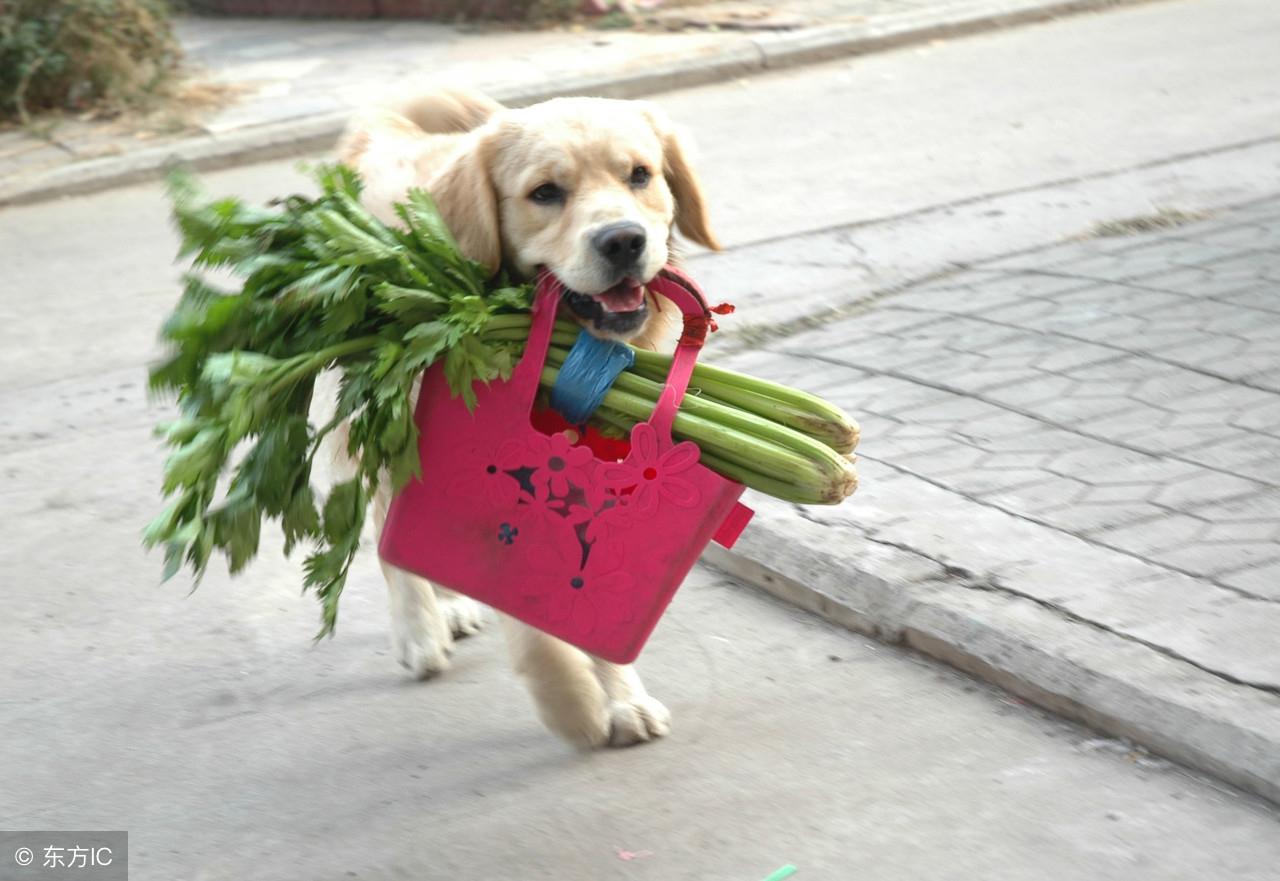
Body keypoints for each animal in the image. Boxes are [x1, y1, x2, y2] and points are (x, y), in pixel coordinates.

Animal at [330, 89, 721, 747]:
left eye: (639, 175)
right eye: (545, 192)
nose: (623, 240)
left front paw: (622, 694)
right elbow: (528, 616)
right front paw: (572, 703)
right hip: (378, 421)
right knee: (386, 524)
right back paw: (419, 629)